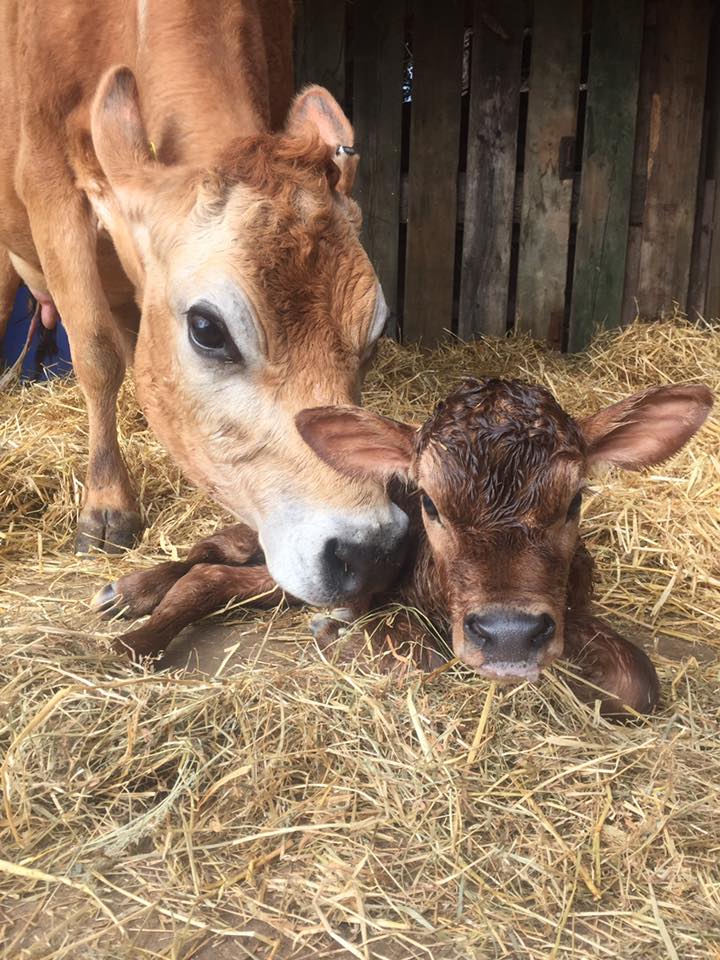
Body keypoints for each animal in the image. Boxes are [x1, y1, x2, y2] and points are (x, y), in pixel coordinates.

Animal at [0, 0, 407, 607]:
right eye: (207, 329)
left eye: (376, 333)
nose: (371, 551)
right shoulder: (47, 179)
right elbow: (95, 354)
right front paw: (107, 507)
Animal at [95, 378, 713, 717]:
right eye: (431, 503)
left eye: (574, 500)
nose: (510, 634)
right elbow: (421, 655)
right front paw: (339, 637)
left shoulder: (573, 607)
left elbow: (637, 684)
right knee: (214, 556)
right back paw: (131, 621)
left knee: (215, 564)